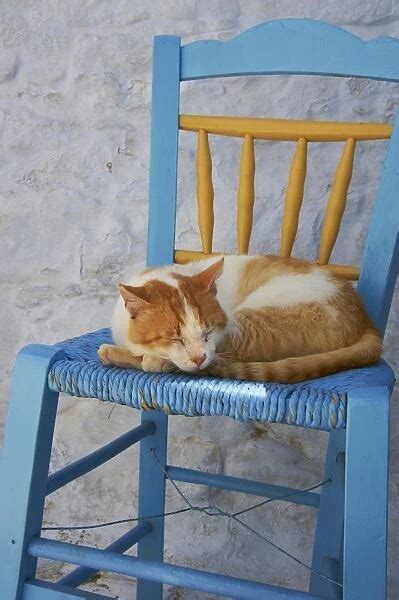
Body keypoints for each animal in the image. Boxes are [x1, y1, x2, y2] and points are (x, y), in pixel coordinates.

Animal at [98, 255, 382, 382]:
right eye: (175, 338)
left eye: (207, 333)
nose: (198, 357)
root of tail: (366, 318)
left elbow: (153, 359)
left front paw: (143, 357)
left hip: (255, 322)